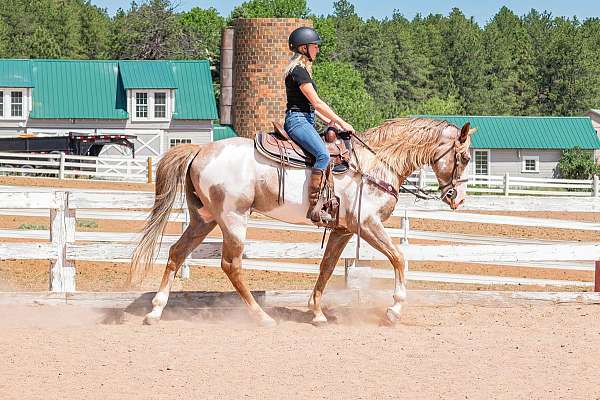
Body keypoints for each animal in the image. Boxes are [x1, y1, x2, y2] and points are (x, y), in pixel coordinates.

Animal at [129, 115, 476, 324]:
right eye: (464, 157)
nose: (458, 198)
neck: (375, 164)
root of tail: (201, 150)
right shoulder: (367, 225)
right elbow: (399, 258)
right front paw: (393, 310)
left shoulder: (343, 230)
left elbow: (327, 267)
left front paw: (317, 311)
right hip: (233, 219)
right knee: (231, 265)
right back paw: (261, 317)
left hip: (204, 219)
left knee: (176, 253)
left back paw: (155, 311)